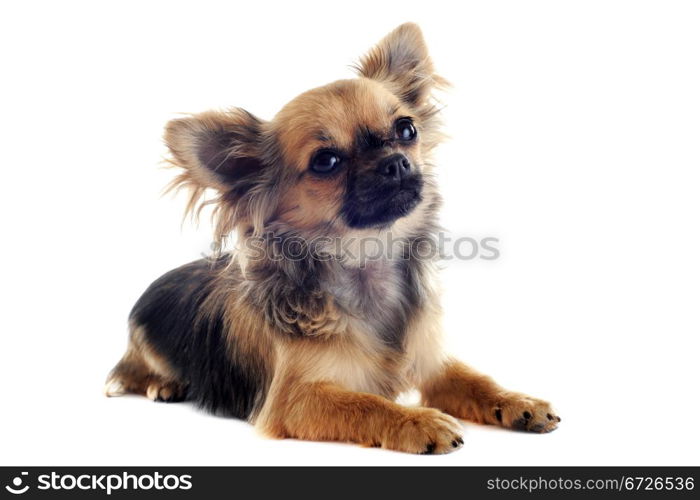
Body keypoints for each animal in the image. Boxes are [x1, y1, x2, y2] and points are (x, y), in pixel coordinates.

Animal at [106, 23, 560, 454]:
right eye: (326, 161)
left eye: (407, 129)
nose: (396, 162)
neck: (366, 265)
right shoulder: (296, 399)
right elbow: (366, 403)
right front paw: (417, 421)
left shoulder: (433, 364)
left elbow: (478, 380)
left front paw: (519, 403)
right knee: (131, 372)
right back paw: (163, 384)